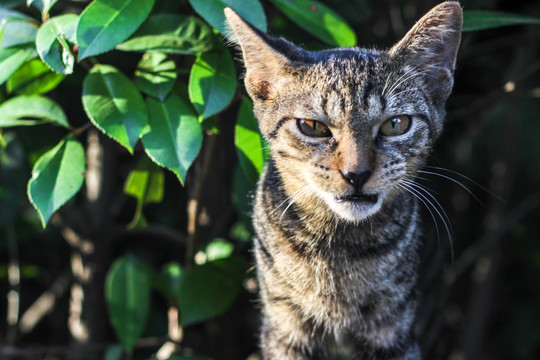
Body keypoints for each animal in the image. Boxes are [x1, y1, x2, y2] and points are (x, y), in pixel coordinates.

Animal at [226, 2, 462, 360]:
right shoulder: (284, 324)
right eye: (312, 126)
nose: (356, 173)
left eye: (395, 124)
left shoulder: (393, 326)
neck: (338, 247)